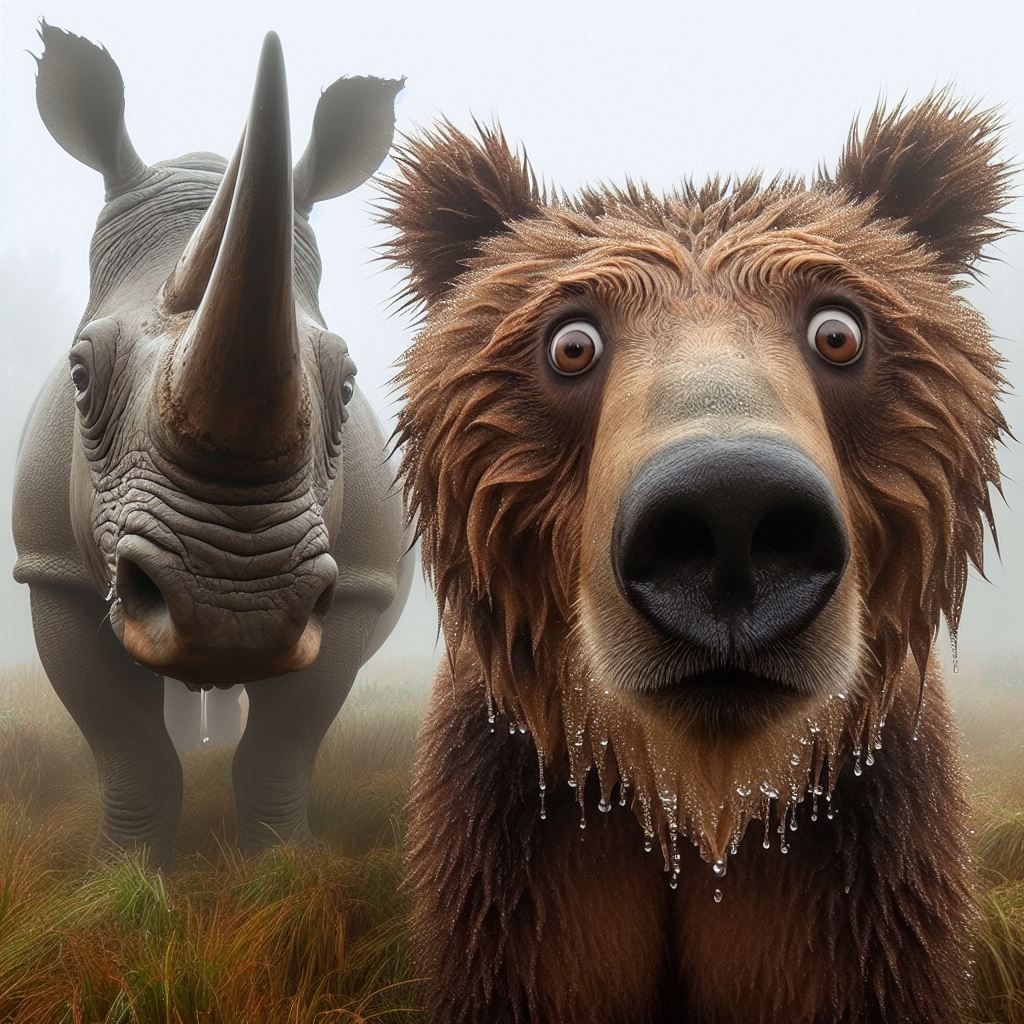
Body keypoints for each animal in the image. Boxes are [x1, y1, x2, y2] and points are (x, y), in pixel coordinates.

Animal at [12, 23, 412, 865]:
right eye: (79, 374)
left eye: (348, 383)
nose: (237, 610)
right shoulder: (50, 567)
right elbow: (129, 751)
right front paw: (123, 875)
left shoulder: (358, 583)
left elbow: (282, 748)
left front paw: (282, 870)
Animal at [380, 95, 1014, 1023]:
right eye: (570, 341)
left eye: (838, 331)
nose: (730, 514)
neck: (699, 798)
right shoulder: (523, 845)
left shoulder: (858, 872)